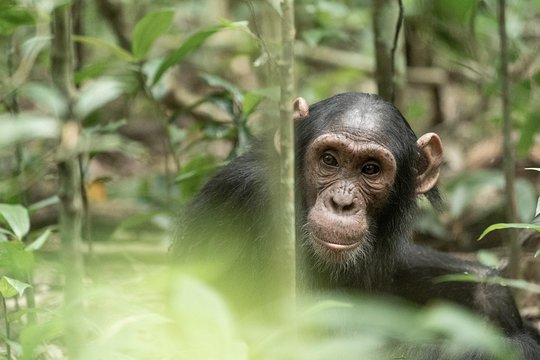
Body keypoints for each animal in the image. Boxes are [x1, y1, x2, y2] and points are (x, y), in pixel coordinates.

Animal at [174, 92, 540, 358]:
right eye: (329, 160)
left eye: (370, 169)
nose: (342, 202)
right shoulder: (256, 201)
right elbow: (301, 338)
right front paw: (513, 345)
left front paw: (489, 295)